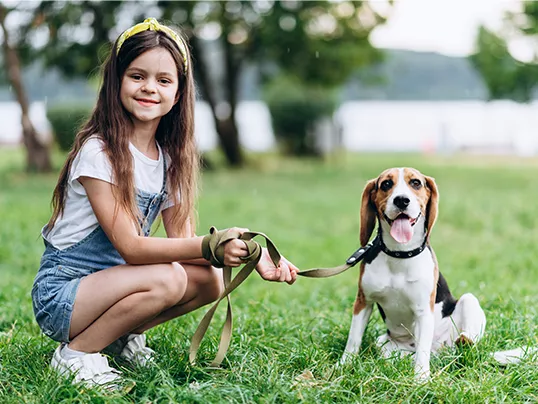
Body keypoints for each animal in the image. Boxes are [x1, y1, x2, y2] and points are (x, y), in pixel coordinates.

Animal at [340, 166, 486, 378]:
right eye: (386, 184)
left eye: (416, 183)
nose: (401, 200)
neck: (400, 253)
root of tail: (439, 350)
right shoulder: (363, 302)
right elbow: (353, 340)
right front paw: (342, 367)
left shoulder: (424, 310)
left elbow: (422, 351)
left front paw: (421, 379)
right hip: (382, 343)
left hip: (468, 301)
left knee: (464, 340)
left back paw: (463, 342)